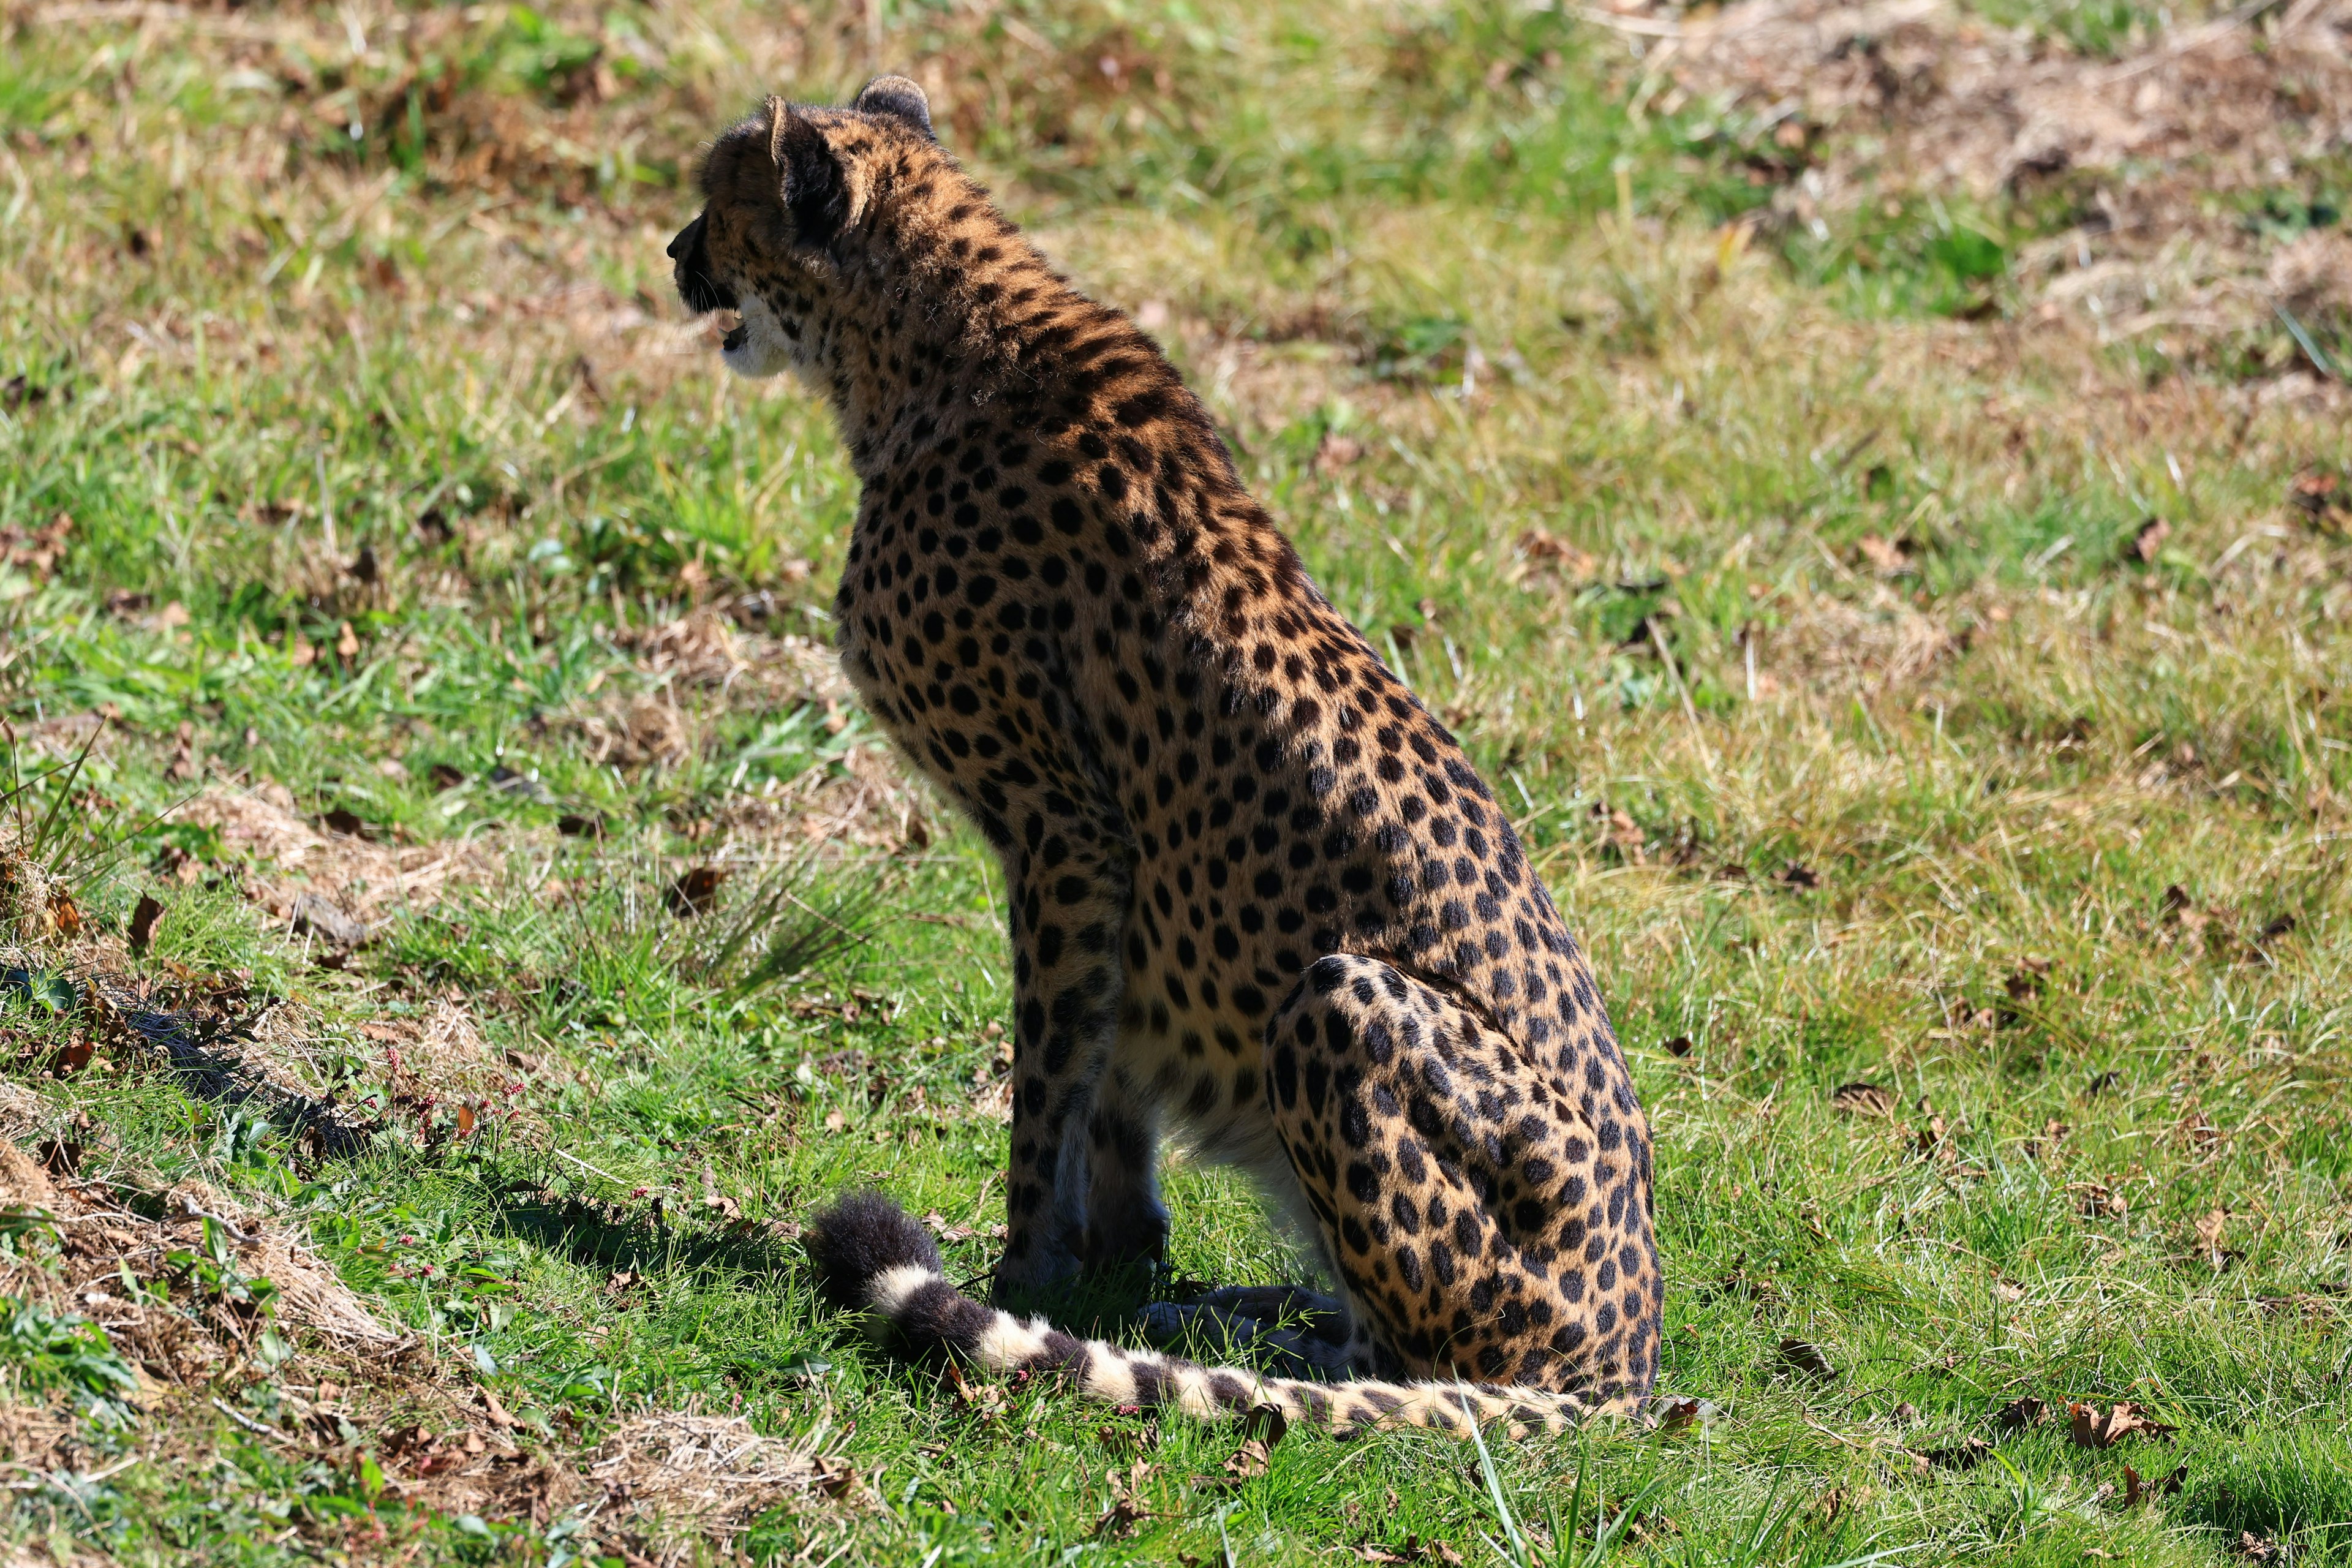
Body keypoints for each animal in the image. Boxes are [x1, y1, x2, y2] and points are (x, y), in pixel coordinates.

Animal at [673, 80, 1665, 1438]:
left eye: (719, 204)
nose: (675, 255)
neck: (928, 344)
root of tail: (1632, 1360)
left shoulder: (1063, 825)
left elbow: (1049, 1077)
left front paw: (1027, 1273)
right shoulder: (1103, 868)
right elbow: (1113, 1080)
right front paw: (1114, 1257)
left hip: (1342, 1002)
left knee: (1402, 1364)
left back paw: (1253, 1340)